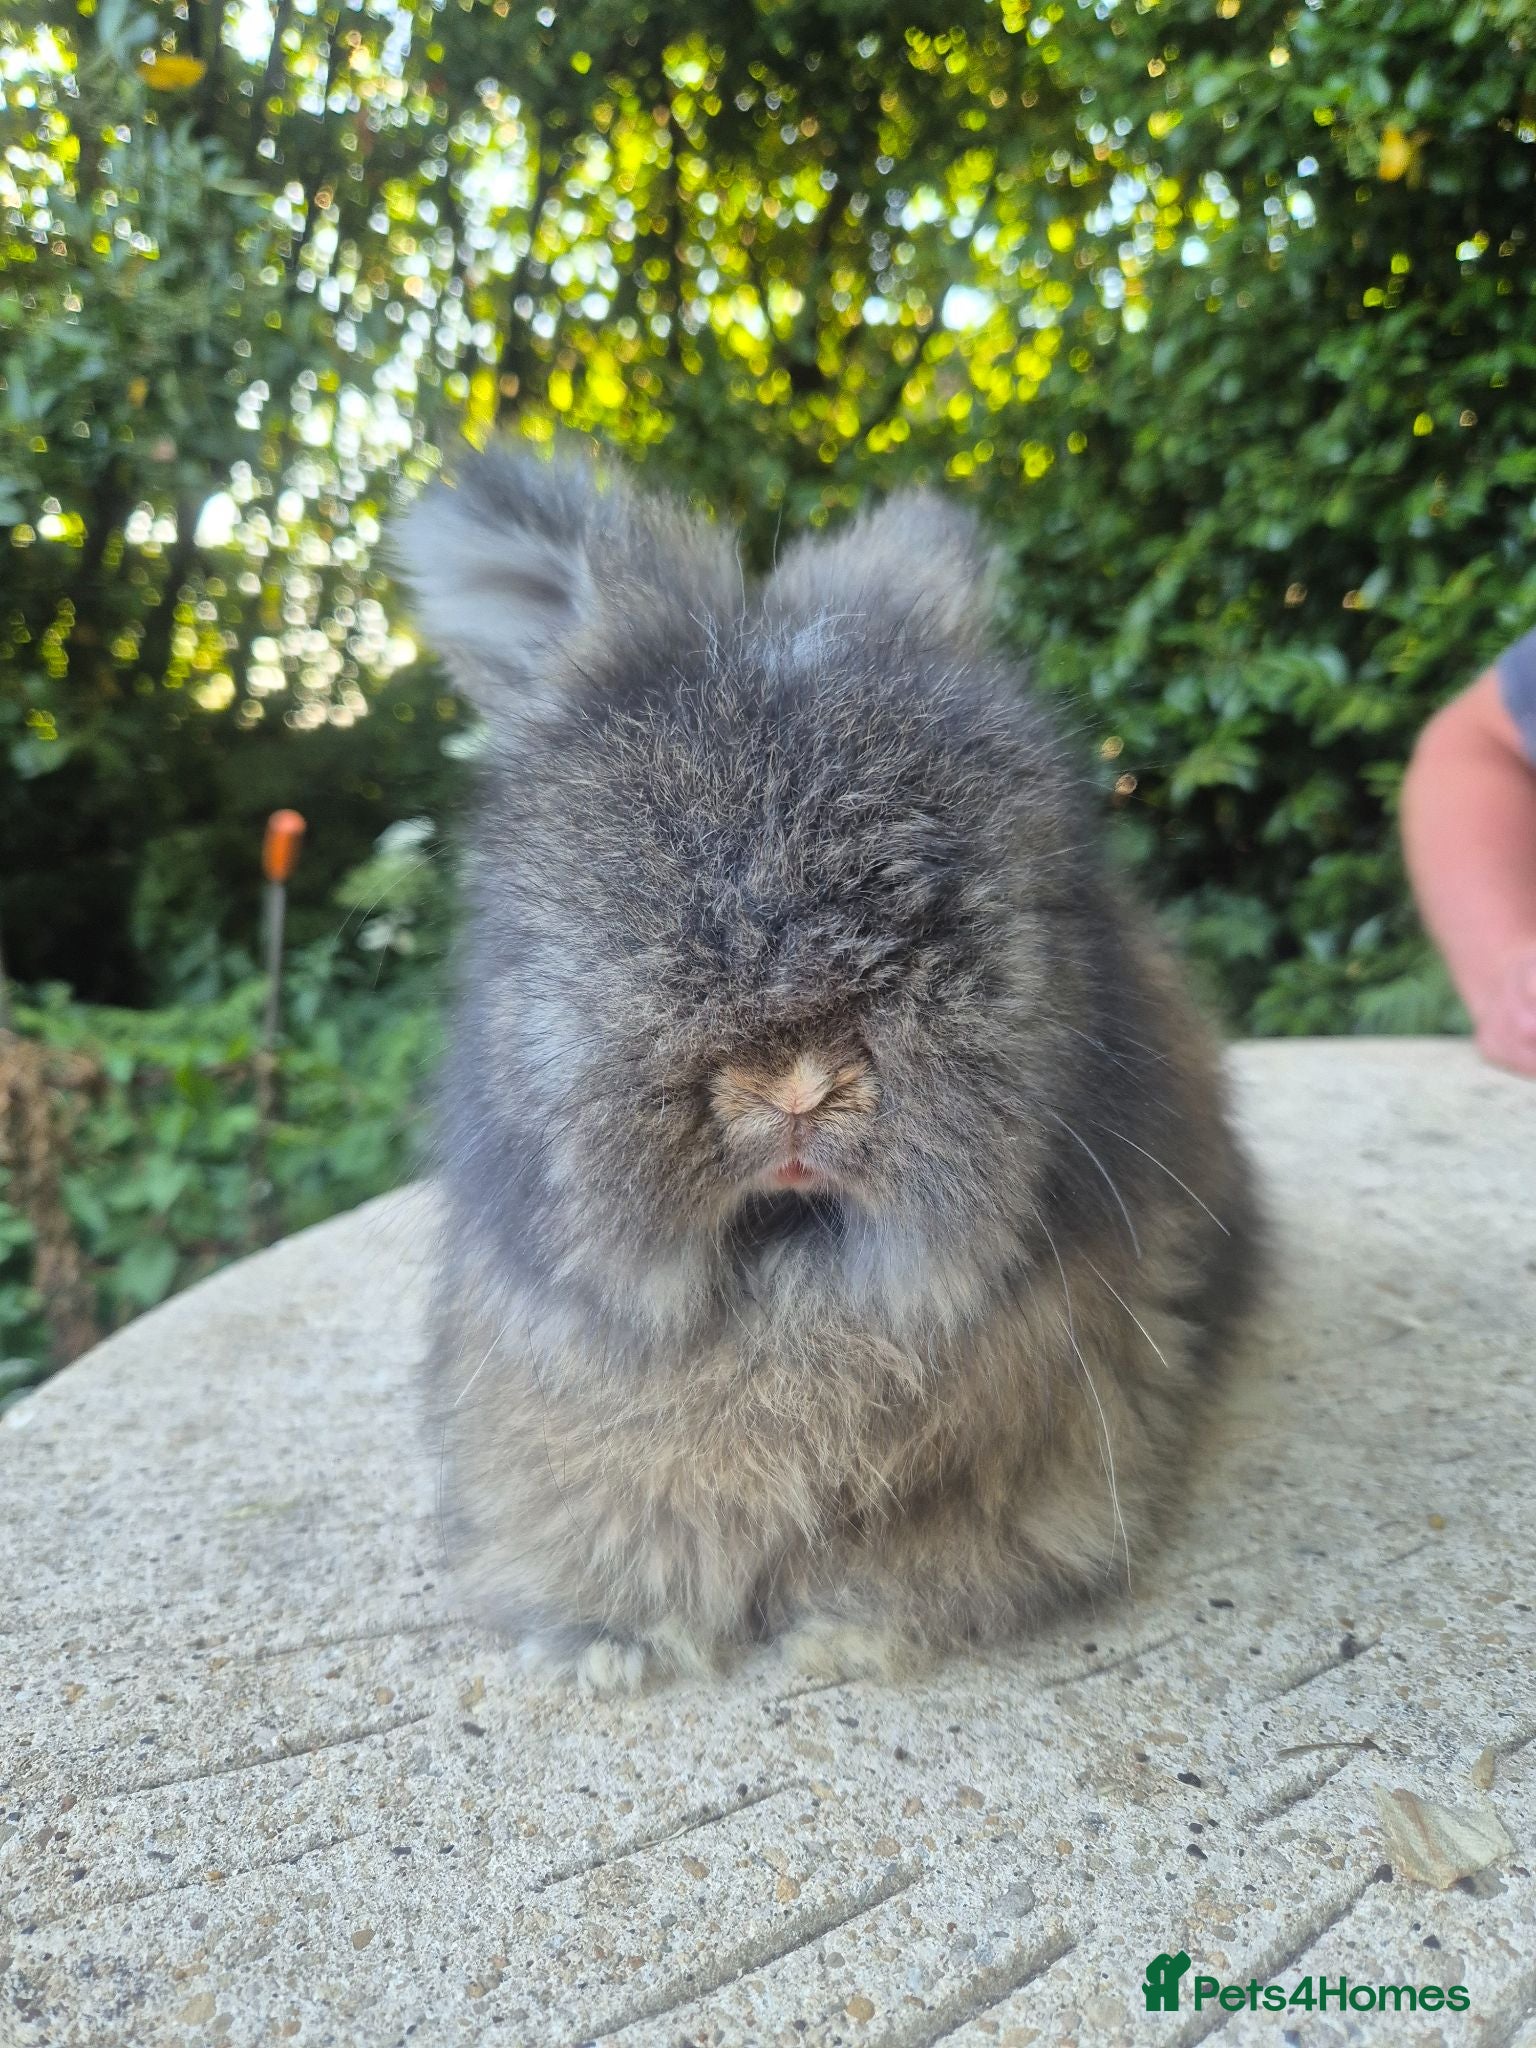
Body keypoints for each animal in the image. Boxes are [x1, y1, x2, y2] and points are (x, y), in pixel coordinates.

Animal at [394, 444, 1261, 1693]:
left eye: (940, 905)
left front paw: (848, 1632)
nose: (797, 1083)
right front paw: (607, 1649)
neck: (791, 1283)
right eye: (634, 893)